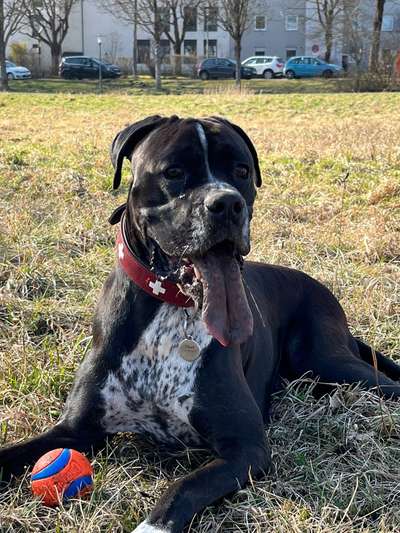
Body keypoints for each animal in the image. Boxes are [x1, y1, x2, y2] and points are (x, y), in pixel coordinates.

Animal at [0, 116, 400, 532]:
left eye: (241, 171)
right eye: (174, 172)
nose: (226, 203)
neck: (170, 309)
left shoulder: (245, 448)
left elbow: (183, 487)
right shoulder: (74, 430)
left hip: (329, 363)